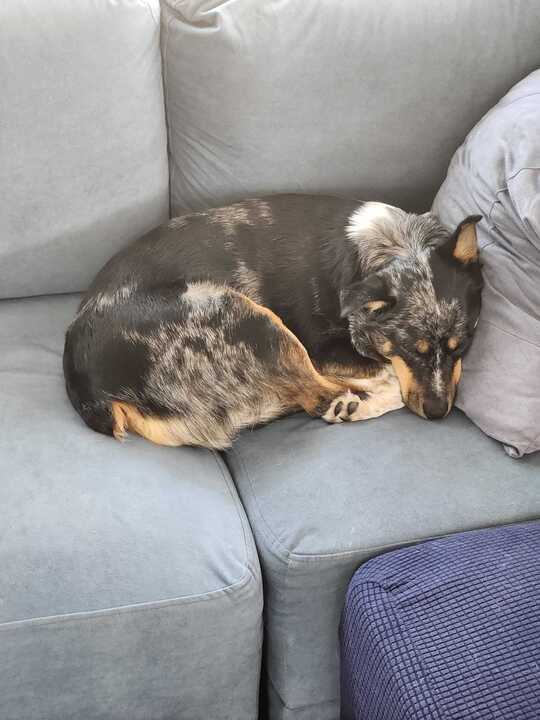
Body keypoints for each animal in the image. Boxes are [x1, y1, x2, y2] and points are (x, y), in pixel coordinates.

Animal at [62, 194, 480, 448]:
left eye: (462, 346)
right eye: (411, 349)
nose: (438, 413)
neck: (394, 247)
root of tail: (90, 389)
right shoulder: (322, 350)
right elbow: (390, 374)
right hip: (245, 317)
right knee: (317, 398)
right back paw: (349, 405)